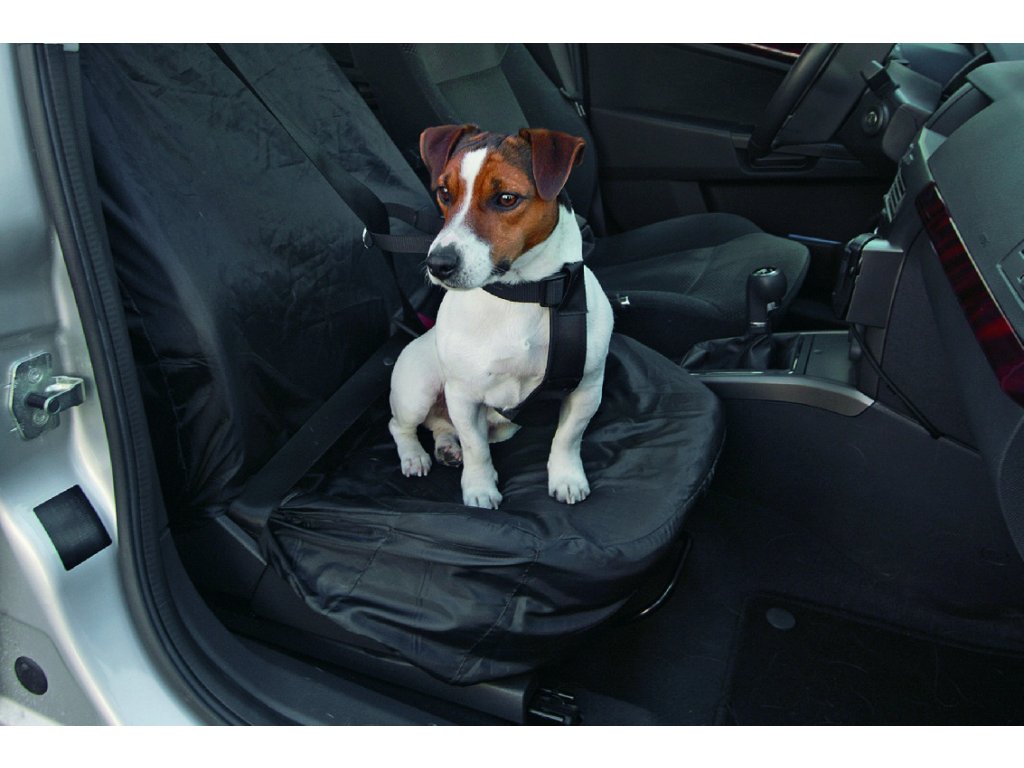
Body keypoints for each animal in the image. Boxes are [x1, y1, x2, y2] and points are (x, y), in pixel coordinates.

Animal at [388, 124, 613, 509]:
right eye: (444, 193)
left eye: (506, 198)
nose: (438, 264)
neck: (525, 293)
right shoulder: (463, 395)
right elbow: (476, 449)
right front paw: (479, 488)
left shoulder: (587, 387)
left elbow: (568, 437)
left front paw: (566, 477)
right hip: (416, 389)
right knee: (400, 425)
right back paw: (414, 456)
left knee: (443, 427)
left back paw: (447, 447)